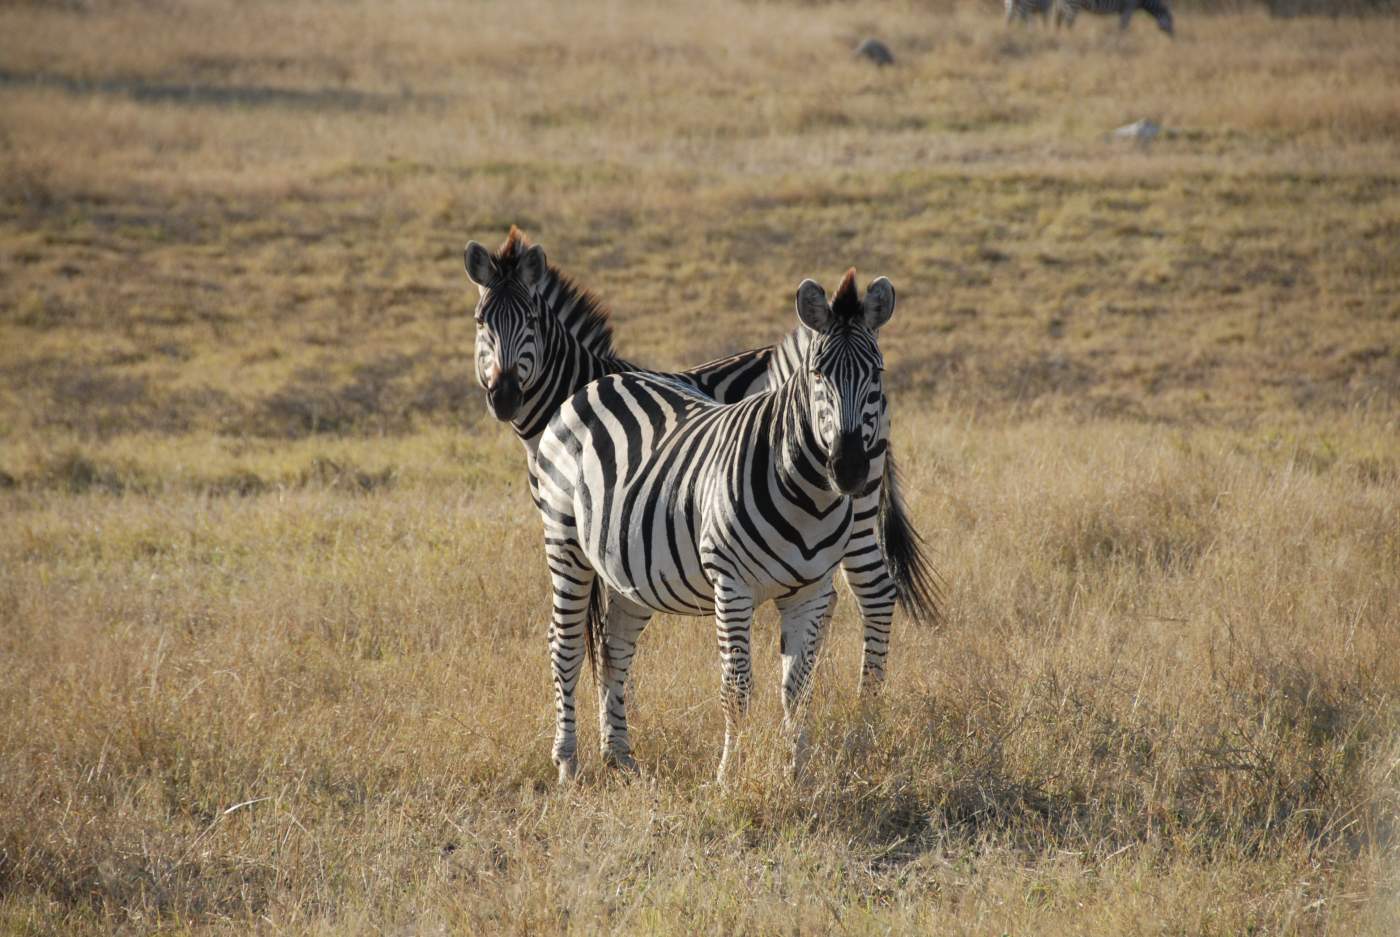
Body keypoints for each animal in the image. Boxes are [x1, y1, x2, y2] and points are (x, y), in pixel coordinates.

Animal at [462, 226, 940, 697]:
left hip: (859, 503)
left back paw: (865, 703)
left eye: (531, 321)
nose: (504, 397)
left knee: (875, 591)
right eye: (481, 322)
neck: (575, 385)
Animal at [534, 270, 896, 784]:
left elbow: (798, 689)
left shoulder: (809, 591)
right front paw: (729, 775)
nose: (848, 469)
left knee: (614, 646)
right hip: (563, 537)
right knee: (564, 645)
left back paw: (620, 756)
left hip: (628, 567)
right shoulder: (732, 586)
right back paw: (568, 762)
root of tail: (601, 381)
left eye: (877, 374)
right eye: (817, 374)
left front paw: (797, 772)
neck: (809, 497)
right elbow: (737, 687)